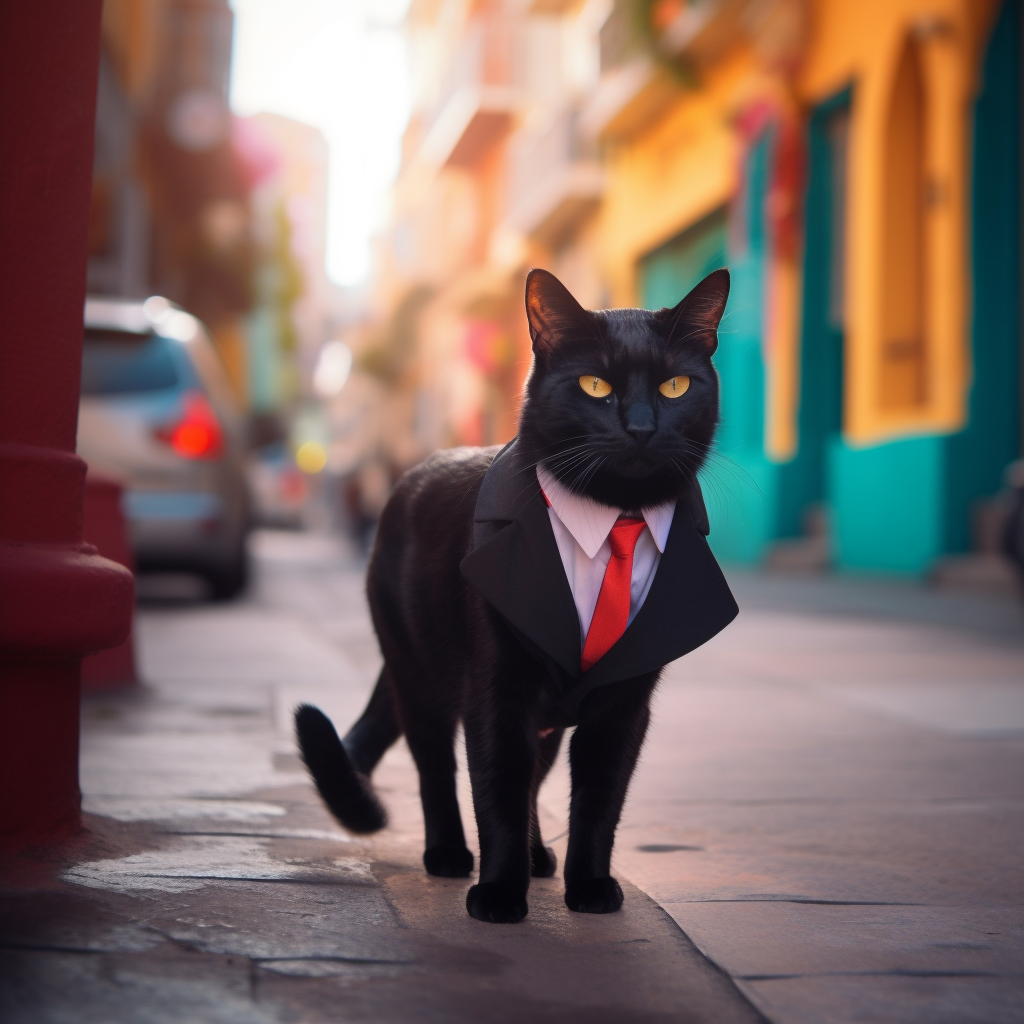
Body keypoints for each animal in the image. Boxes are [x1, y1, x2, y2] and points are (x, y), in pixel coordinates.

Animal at [296, 268, 737, 925]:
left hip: (547, 711)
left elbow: (598, 802)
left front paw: (590, 886)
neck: (618, 518)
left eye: (675, 386)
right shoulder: (497, 690)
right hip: (419, 677)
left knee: (533, 781)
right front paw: (500, 893)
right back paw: (450, 854)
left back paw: (536, 858)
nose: (640, 426)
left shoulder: (623, 706)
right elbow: (495, 787)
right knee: (437, 767)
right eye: (596, 385)